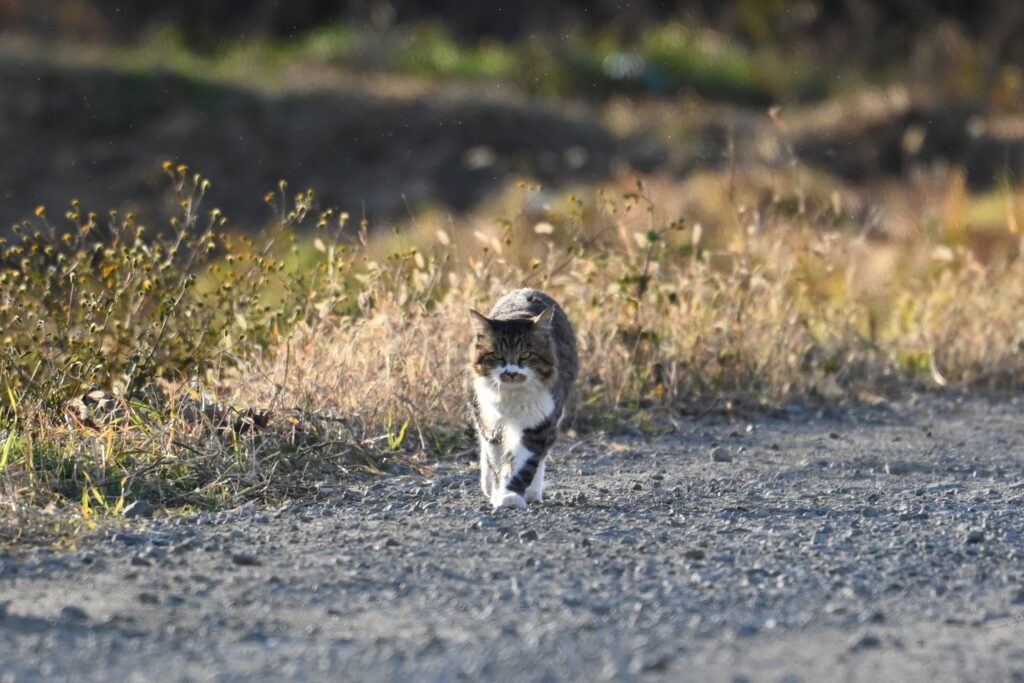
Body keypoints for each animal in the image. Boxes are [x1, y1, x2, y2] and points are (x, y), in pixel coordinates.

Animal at [468, 288, 581, 507]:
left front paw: (510, 495)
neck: (512, 396)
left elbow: (524, 463)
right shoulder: (490, 418)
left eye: (526, 355)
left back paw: (532, 491)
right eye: (497, 356)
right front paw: (498, 491)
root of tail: (529, 290)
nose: (511, 372)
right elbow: (496, 458)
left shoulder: (539, 422)